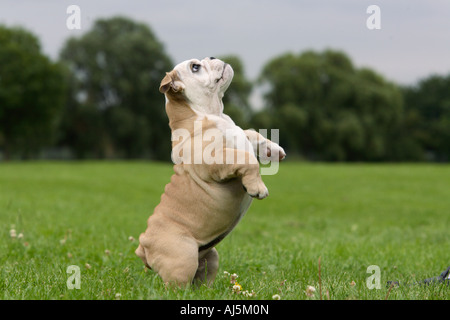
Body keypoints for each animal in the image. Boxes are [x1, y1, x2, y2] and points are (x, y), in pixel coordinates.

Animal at [135, 57, 286, 288]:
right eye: (195, 67)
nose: (212, 57)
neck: (209, 112)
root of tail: (143, 245)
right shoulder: (217, 160)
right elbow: (248, 161)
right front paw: (257, 187)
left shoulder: (241, 135)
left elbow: (251, 134)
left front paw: (273, 150)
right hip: (182, 257)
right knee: (175, 284)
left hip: (210, 256)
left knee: (204, 274)